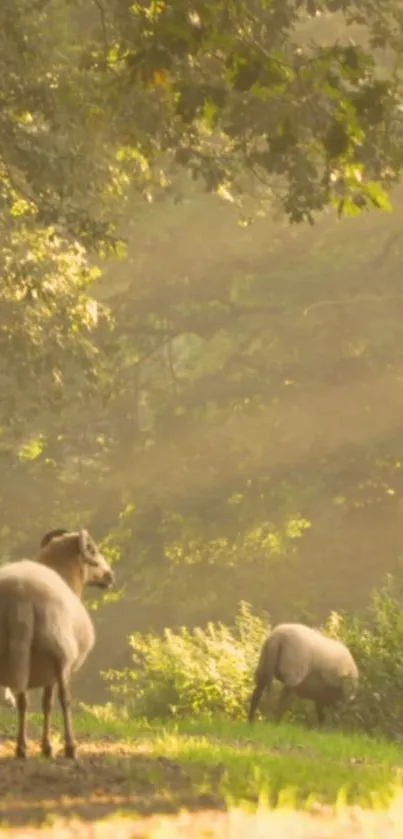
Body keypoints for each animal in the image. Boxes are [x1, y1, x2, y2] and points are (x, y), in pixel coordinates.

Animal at [0, 532, 115, 760]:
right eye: (93, 549)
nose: (109, 576)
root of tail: (20, 596)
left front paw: (45, 746)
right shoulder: (53, 666)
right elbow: (49, 703)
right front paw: (48, 746)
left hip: (15, 657)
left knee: (22, 701)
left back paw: (21, 747)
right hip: (58, 651)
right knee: (64, 698)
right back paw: (70, 746)